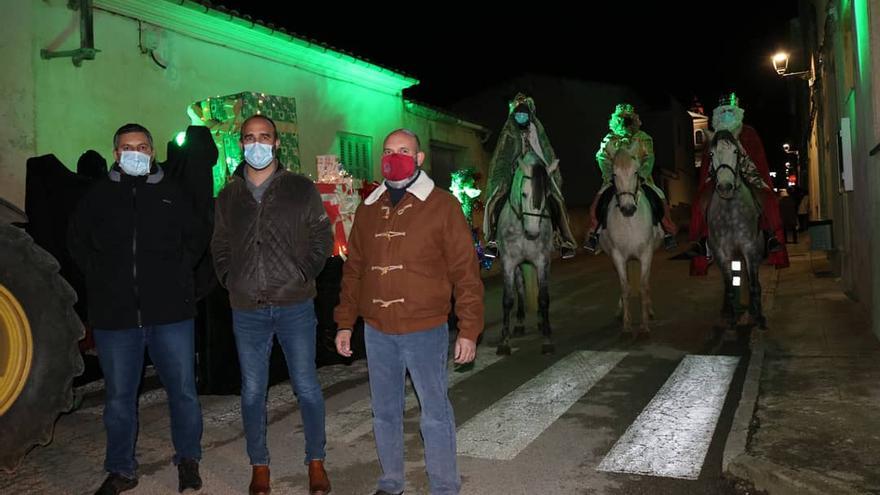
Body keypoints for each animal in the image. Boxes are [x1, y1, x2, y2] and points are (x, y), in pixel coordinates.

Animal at [498, 151, 552, 356]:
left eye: (547, 195)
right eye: (523, 193)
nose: (533, 233)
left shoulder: (542, 261)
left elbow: (543, 298)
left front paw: (547, 339)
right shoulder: (508, 262)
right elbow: (508, 300)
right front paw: (504, 342)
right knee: (520, 288)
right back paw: (520, 322)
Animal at [600, 138, 660, 336]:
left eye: (636, 172)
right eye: (614, 174)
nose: (628, 208)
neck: (629, 222)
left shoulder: (646, 254)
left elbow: (643, 286)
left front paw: (644, 325)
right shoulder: (618, 256)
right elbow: (625, 287)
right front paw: (626, 324)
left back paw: (650, 309)